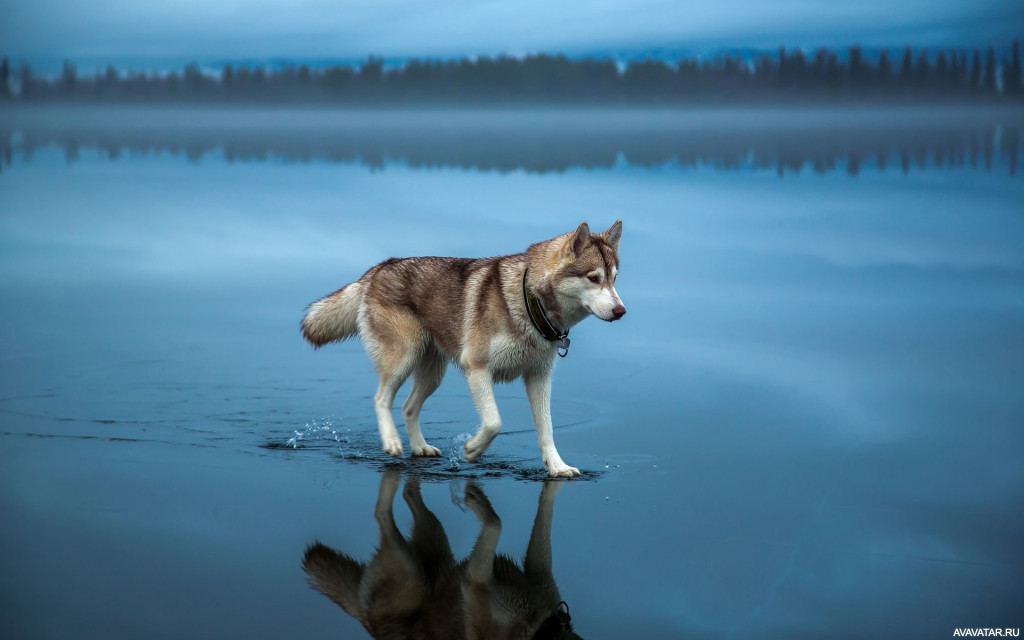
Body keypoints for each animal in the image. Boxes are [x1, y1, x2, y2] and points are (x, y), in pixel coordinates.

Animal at [299, 219, 622, 475]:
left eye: (615, 279)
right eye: (594, 278)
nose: (621, 311)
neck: (530, 302)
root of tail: (380, 267)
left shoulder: (539, 377)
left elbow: (547, 429)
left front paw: (557, 467)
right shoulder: (477, 369)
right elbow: (494, 422)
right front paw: (472, 450)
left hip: (432, 374)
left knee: (407, 407)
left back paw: (420, 447)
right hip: (402, 359)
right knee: (381, 399)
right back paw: (391, 442)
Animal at [299, 468, 581, 638]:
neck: (541, 627)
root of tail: (366, 621)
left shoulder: (538, 569)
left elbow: (545, 512)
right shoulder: (475, 582)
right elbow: (496, 523)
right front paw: (476, 500)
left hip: (435, 539)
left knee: (409, 493)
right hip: (413, 571)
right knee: (381, 513)